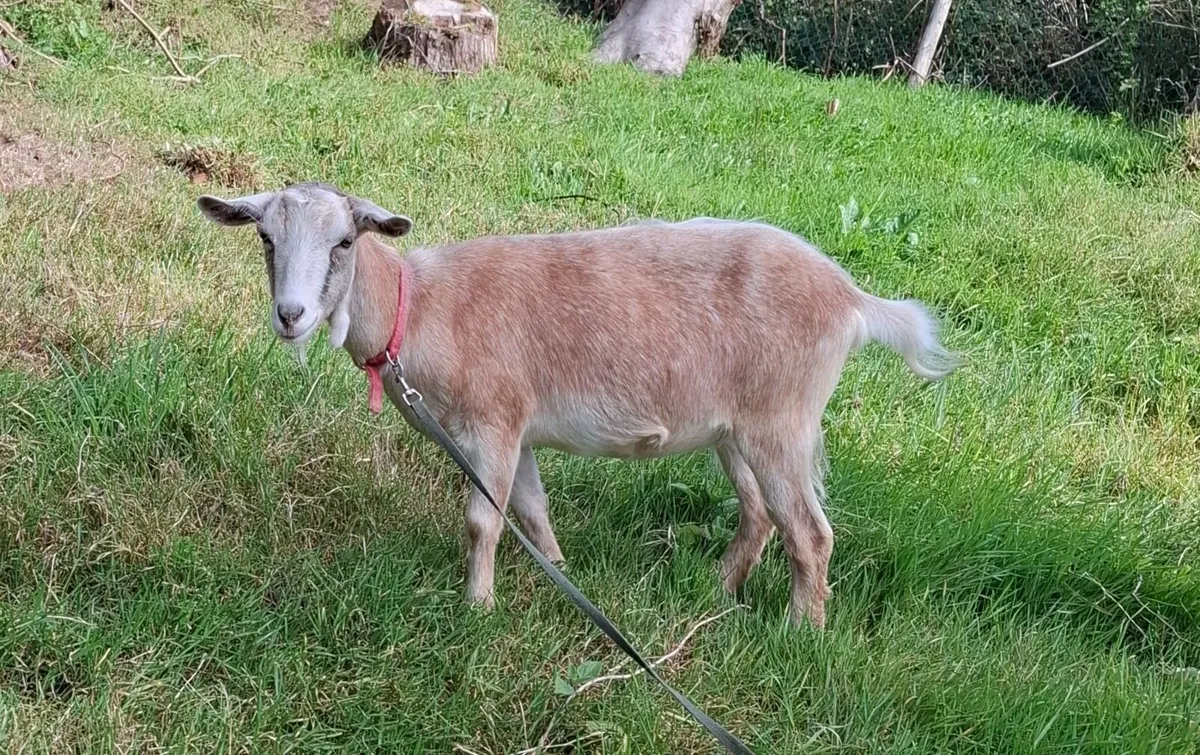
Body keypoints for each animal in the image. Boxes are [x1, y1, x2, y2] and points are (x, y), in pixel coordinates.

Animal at [197, 182, 956, 626]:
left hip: (782, 419)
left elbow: (483, 520)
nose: (290, 316)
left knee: (810, 531)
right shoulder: (521, 430)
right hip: (737, 430)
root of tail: (852, 298)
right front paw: (559, 575)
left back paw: (802, 631)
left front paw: (477, 608)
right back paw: (716, 592)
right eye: (265, 238)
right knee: (761, 514)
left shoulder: (493, 420)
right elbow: (532, 511)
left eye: (345, 240)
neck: (420, 308)